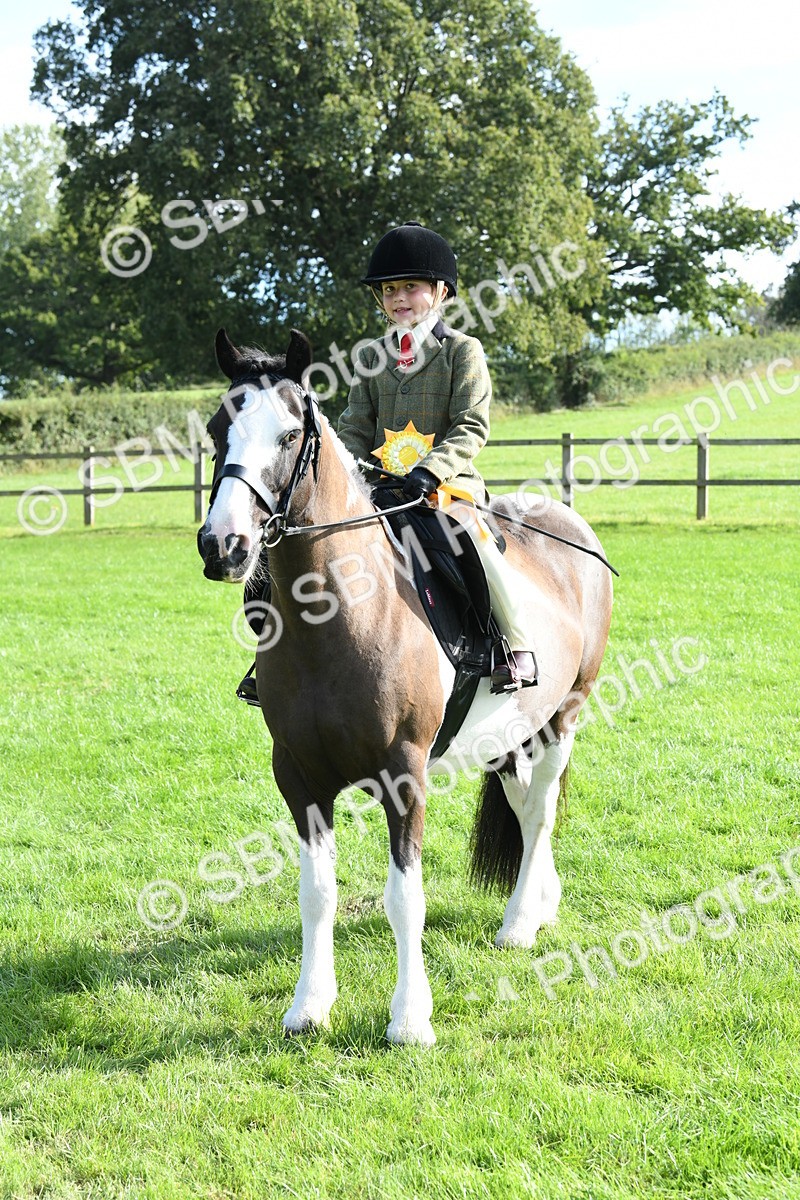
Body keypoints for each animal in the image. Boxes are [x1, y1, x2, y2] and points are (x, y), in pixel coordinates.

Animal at [197, 327, 614, 1046]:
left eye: (288, 434)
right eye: (218, 428)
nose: (224, 545)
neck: (344, 615)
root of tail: (568, 523)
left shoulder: (404, 774)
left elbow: (403, 896)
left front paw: (411, 1018)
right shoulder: (298, 775)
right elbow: (317, 893)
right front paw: (310, 1006)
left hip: (563, 714)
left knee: (540, 811)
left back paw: (517, 924)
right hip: (508, 733)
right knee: (526, 807)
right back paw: (540, 903)